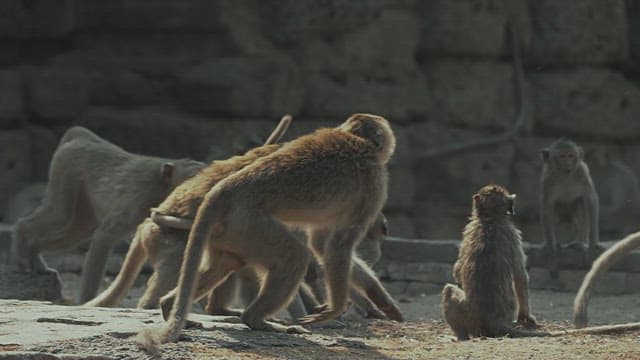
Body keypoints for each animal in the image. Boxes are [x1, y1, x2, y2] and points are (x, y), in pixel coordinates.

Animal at [136, 112, 402, 346]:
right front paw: (336, 309)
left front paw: (379, 301)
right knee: (294, 256)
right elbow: (339, 245)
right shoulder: (375, 182)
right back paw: (256, 319)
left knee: (229, 262)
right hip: (250, 223)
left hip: (228, 230)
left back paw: (170, 306)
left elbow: (322, 245)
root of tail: (223, 189)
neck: (359, 141)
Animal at [440, 184, 540, 338]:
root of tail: (492, 320)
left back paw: (461, 337)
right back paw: (461, 337)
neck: (490, 218)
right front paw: (525, 316)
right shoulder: (512, 234)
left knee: (448, 289)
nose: (514, 210)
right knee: (449, 289)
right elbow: (520, 277)